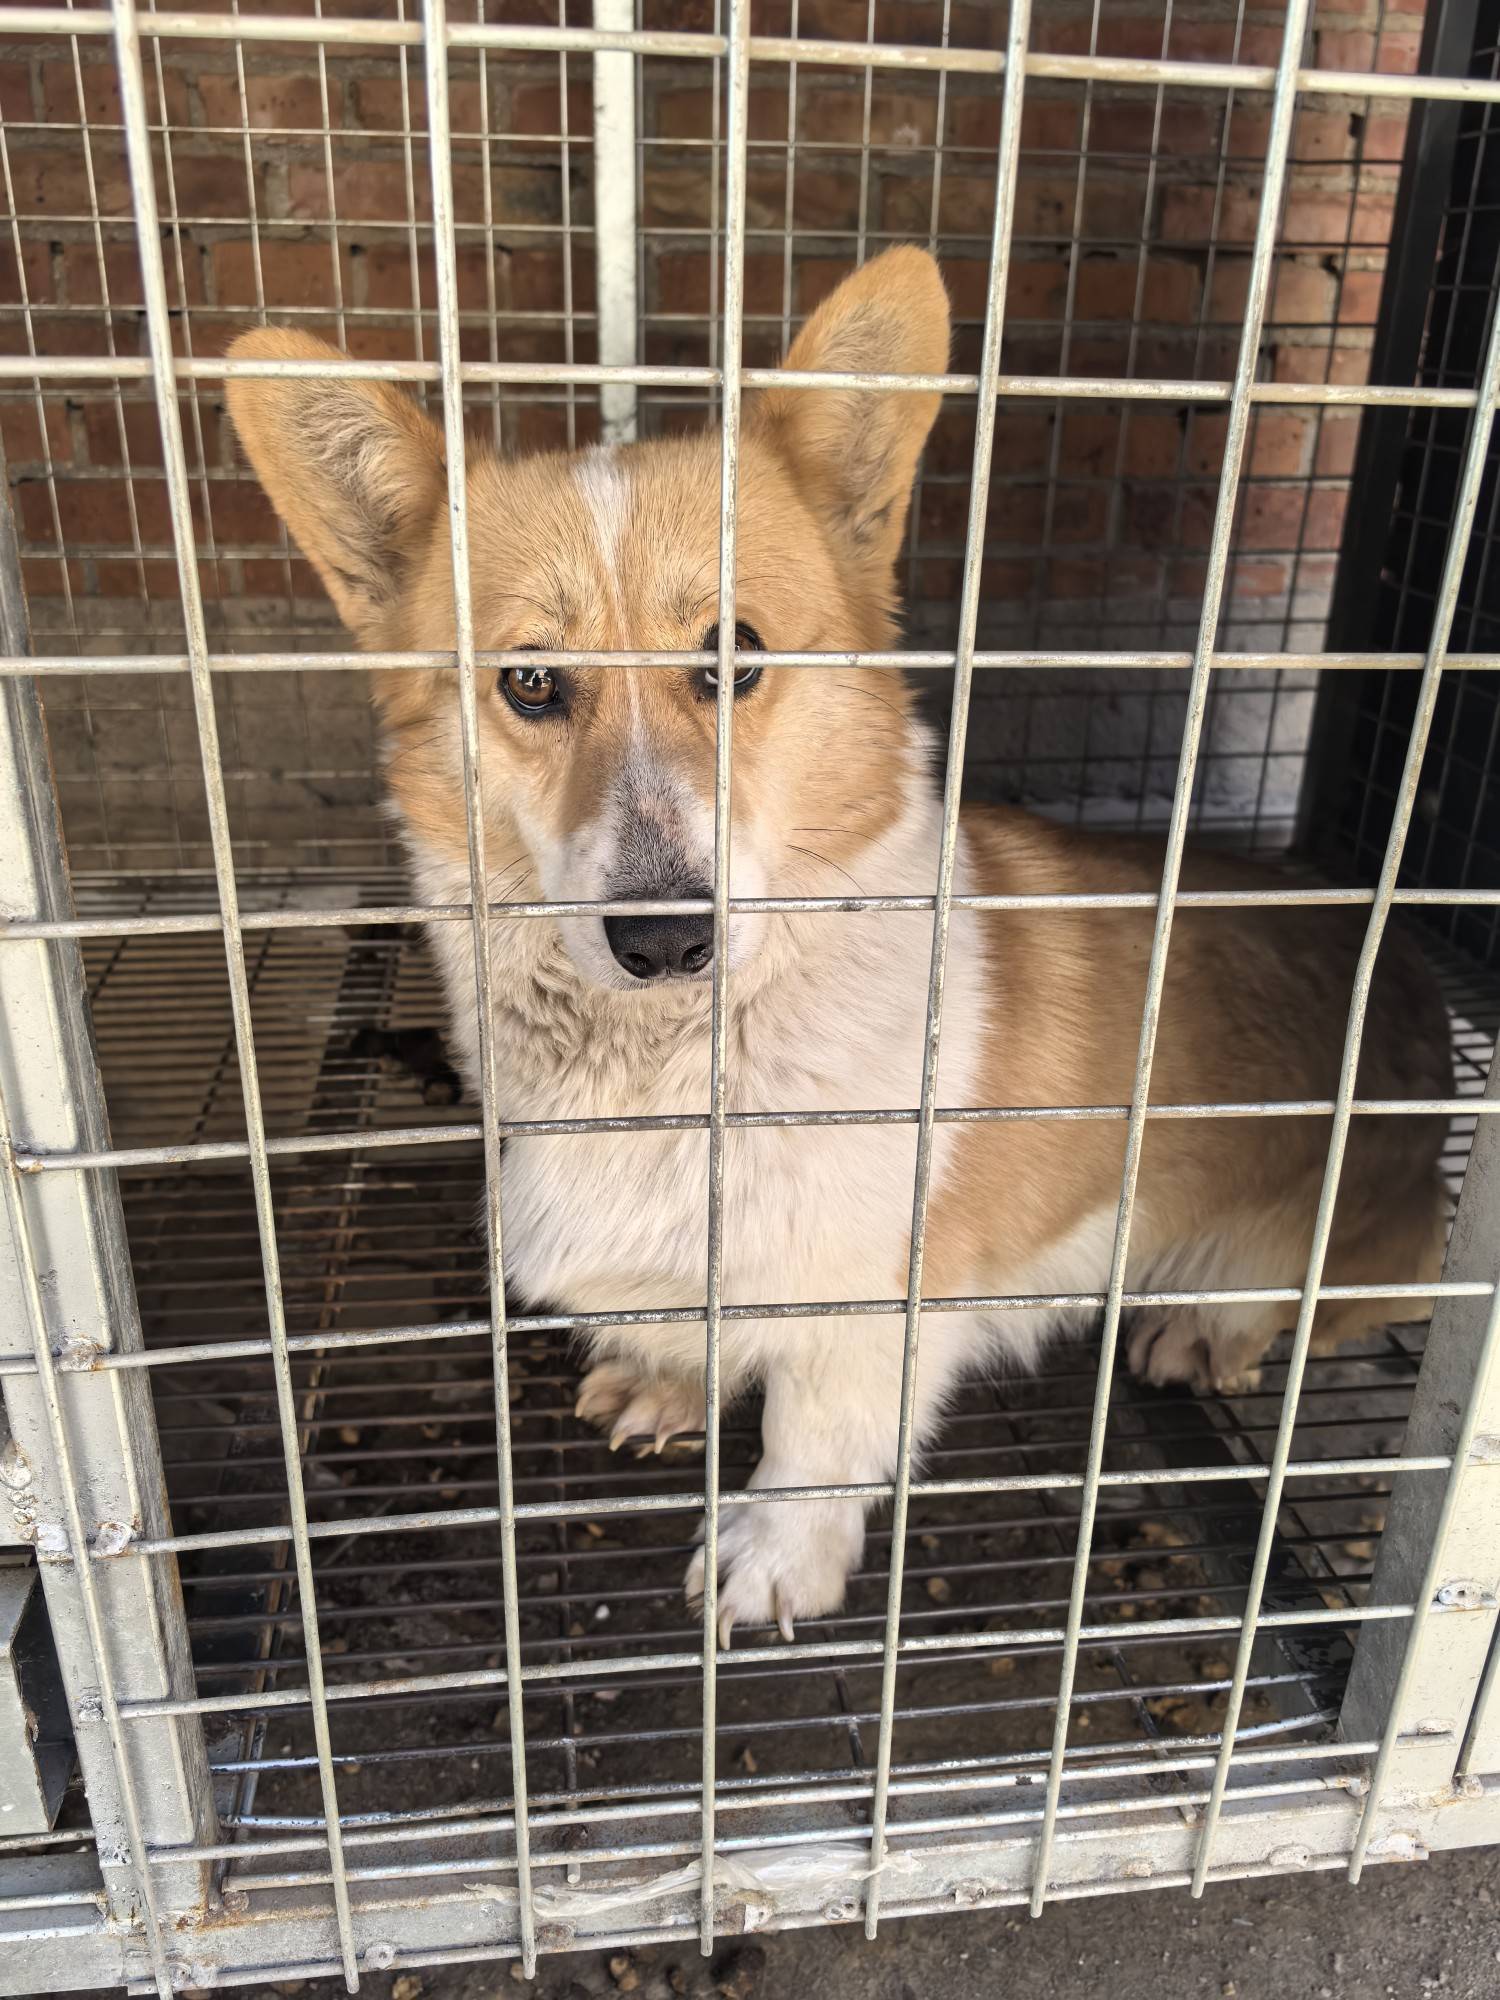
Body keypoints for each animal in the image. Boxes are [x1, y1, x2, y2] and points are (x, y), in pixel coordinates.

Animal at [225, 246, 1452, 1644]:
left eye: (735, 657)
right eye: (530, 682)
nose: (664, 938)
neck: (670, 1062)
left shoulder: (874, 1297)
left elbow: (817, 1433)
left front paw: (773, 1557)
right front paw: (668, 1374)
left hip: (1332, 1244)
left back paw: (1214, 1328)